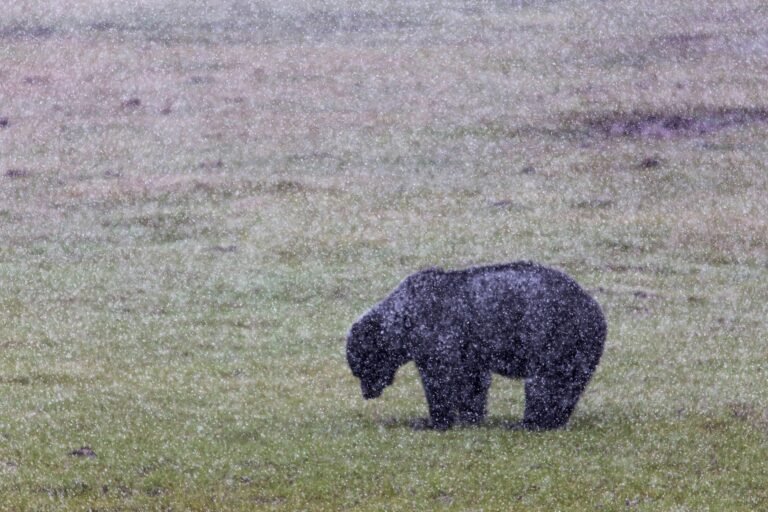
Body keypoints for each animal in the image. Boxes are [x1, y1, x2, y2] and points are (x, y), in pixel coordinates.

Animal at [346, 261, 606, 430]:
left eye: (361, 369)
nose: (367, 393)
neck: (403, 321)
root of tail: (594, 309)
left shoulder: (437, 331)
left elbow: (439, 378)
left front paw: (434, 420)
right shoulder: (470, 348)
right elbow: (472, 381)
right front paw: (470, 416)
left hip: (551, 333)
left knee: (544, 382)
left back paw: (530, 422)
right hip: (582, 349)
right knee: (570, 385)